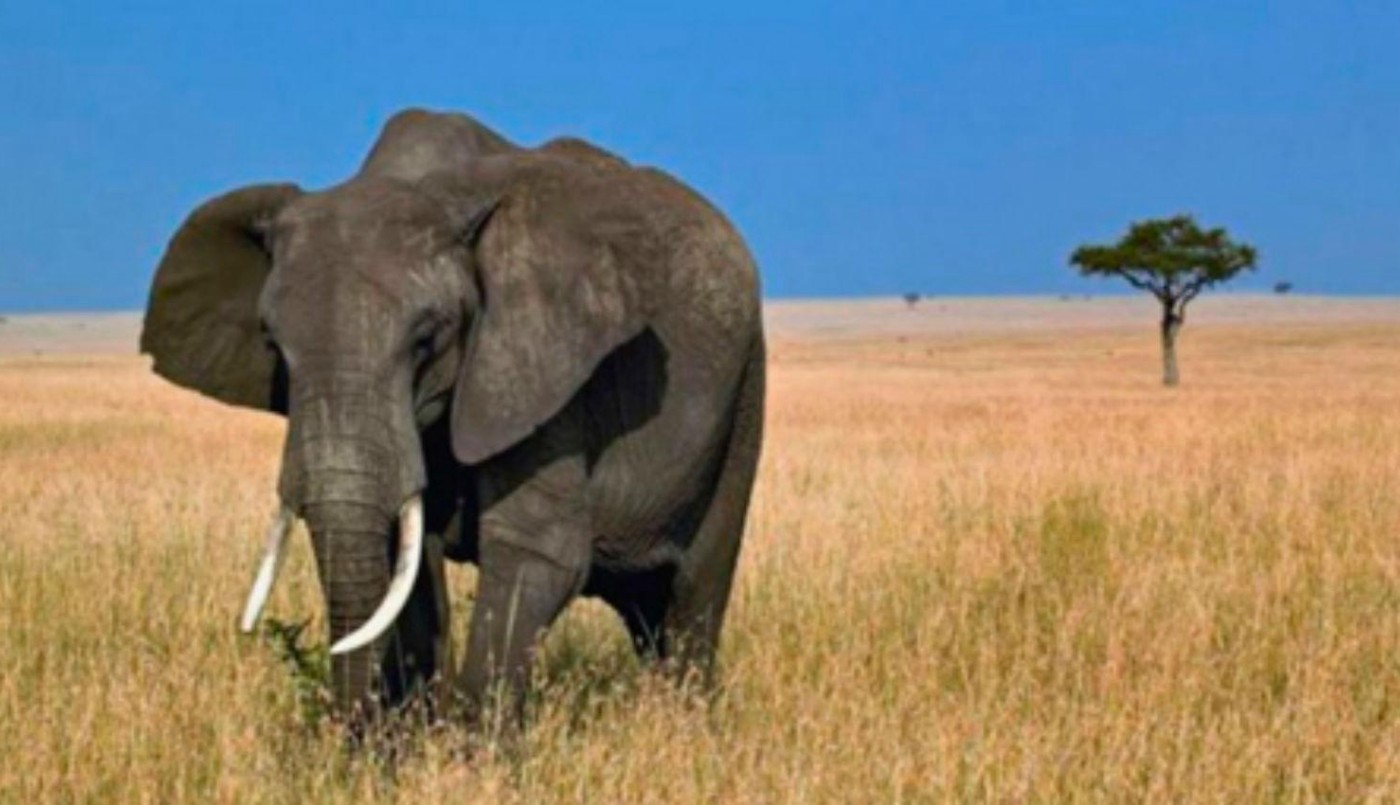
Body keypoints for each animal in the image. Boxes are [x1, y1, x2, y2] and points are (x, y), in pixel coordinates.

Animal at [140, 108, 765, 725]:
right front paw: (412, 736)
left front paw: (470, 745)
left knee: (693, 594)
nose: (353, 729)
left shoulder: (538, 363)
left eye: (426, 340)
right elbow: (407, 564)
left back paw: (682, 722)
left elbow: (537, 547)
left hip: (743, 392)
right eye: (273, 345)